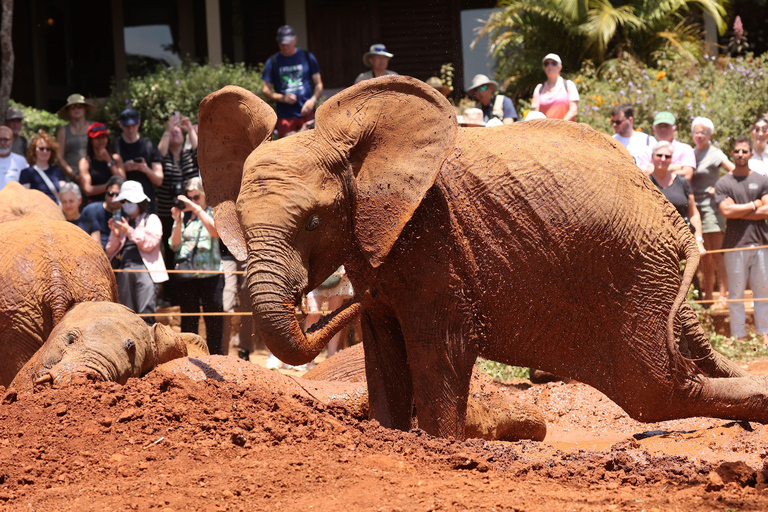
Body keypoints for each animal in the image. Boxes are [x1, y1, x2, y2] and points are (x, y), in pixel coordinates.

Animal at [196, 76, 760, 440]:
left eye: (313, 222)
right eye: (239, 222)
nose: (336, 303)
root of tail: (668, 207)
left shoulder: (434, 238)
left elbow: (438, 346)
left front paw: (441, 447)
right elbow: (383, 350)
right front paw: (390, 436)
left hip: (633, 275)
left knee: (654, 391)